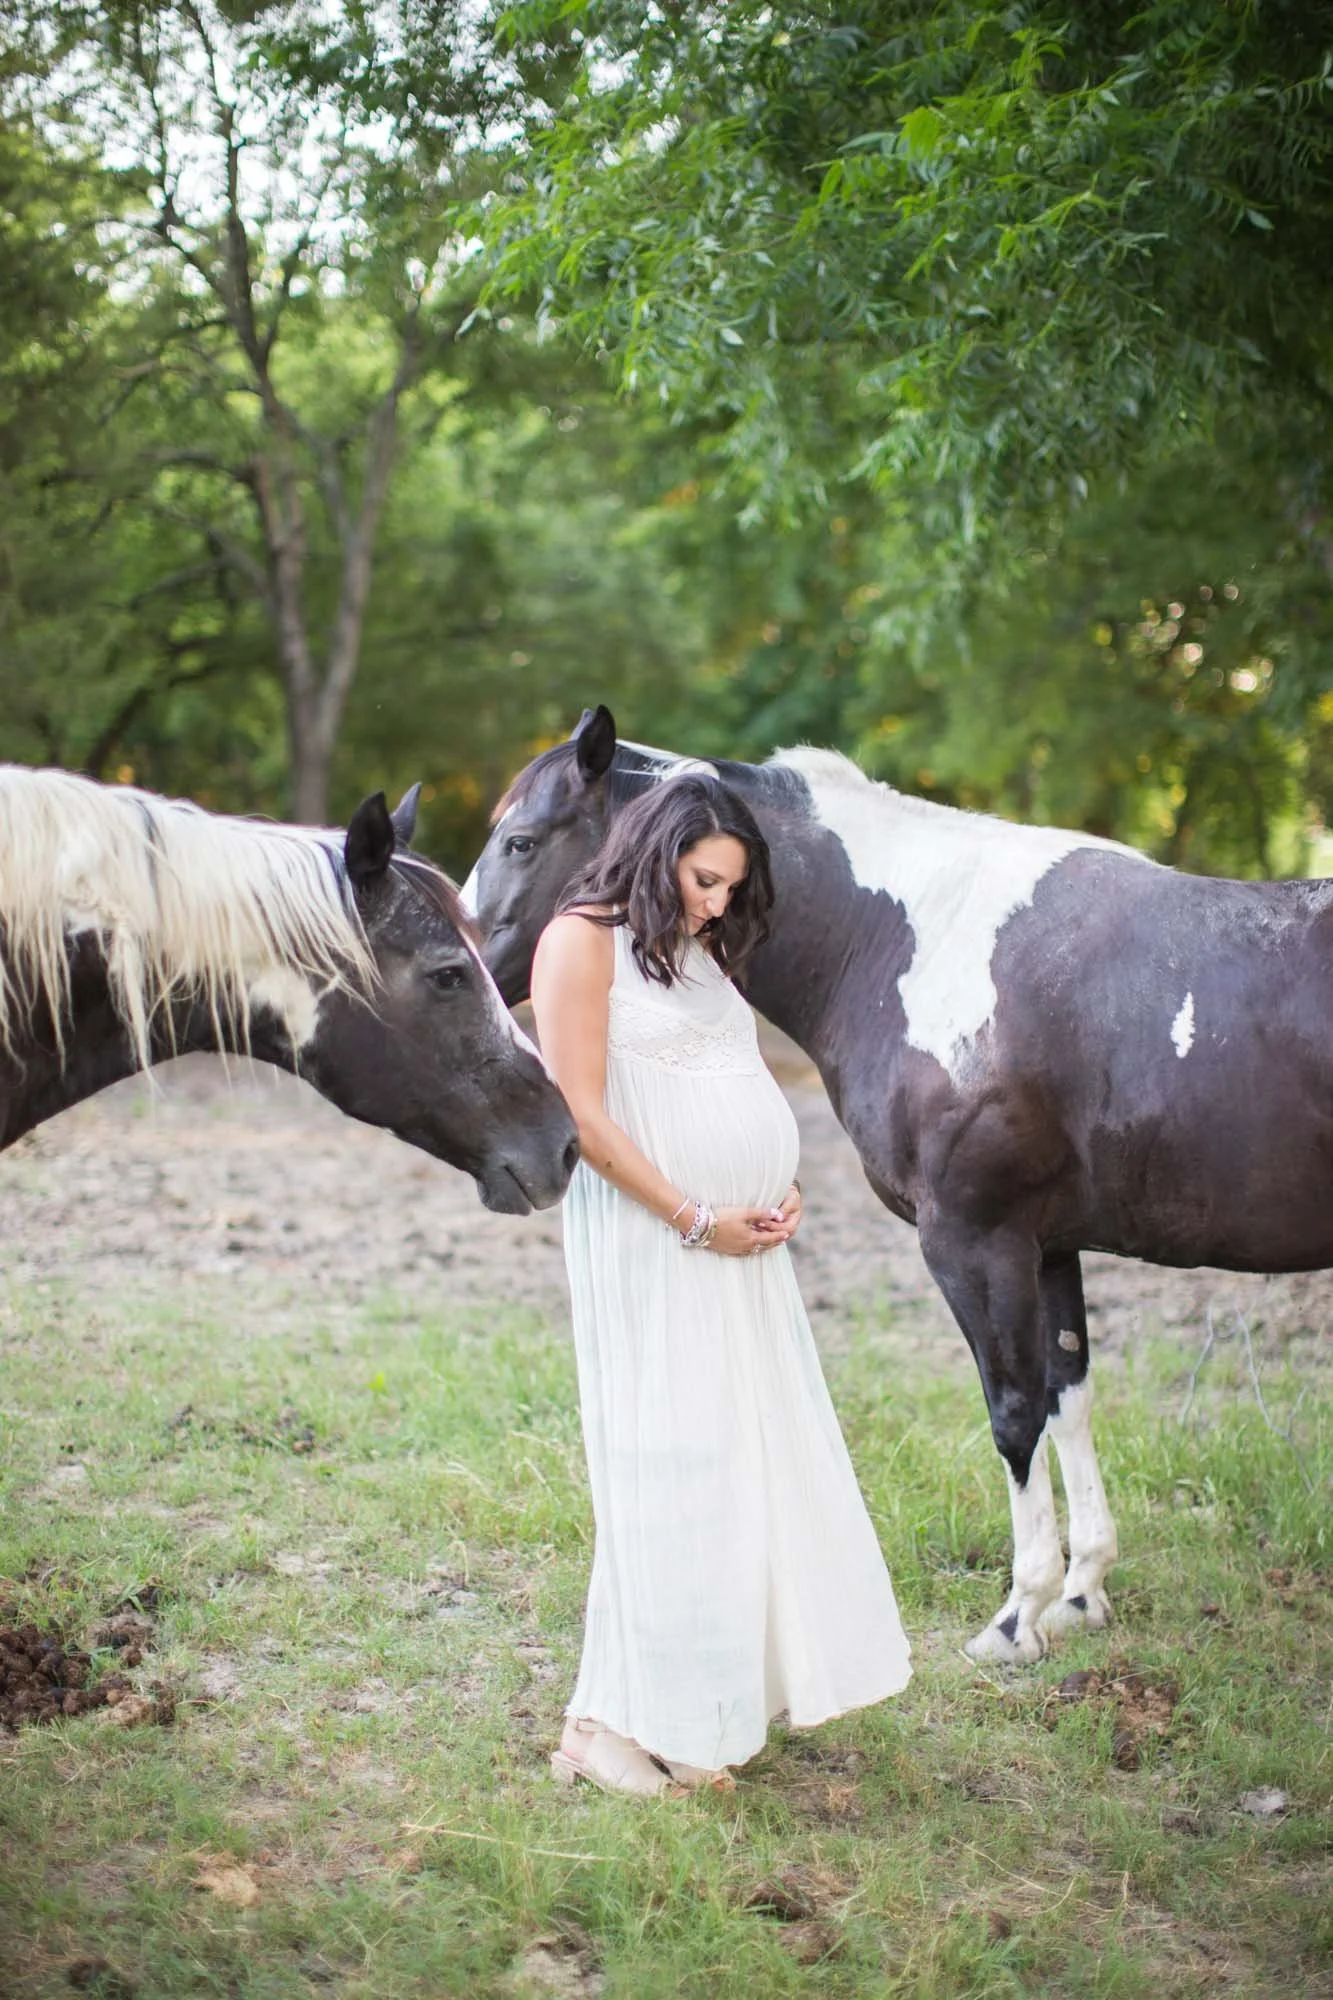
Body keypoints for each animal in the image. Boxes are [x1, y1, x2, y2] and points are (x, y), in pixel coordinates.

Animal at [462, 704, 1333, 1664]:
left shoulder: (974, 1241)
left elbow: (1013, 1410)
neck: (906, 942)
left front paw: (1016, 1618)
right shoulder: (1047, 1244)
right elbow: (1066, 1395)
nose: (469, 974)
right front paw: (1079, 1595)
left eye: (520, 841)